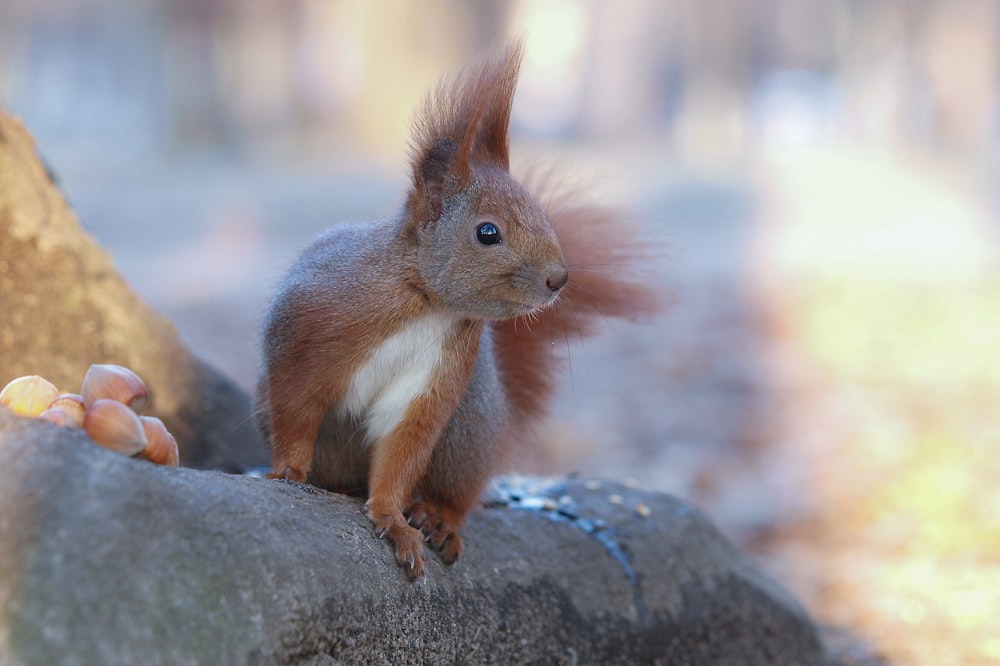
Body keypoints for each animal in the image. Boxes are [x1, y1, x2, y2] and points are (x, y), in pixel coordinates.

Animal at [258, 41, 660, 580]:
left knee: (457, 491)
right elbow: (296, 410)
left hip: (469, 428)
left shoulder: (437, 378)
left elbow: (402, 451)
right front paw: (286, 471)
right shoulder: (308, 337)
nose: (559, 279)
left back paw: (437, 518)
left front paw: (393, 518)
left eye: (540, 212)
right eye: (487, 232)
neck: (429, 304)